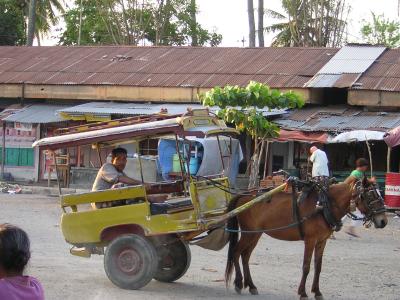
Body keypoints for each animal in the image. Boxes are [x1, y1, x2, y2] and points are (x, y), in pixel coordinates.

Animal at [225, 177, 388, 298]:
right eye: (370, 195)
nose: (383, 221)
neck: (323, 205)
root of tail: (244, 194)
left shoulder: (322, 241)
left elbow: (318, 266)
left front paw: (317, 291)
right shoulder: (310, 240)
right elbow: (306, 266)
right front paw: (302, 292)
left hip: (255, 234)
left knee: (245, 256)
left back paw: (251, 285)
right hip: (249, 232)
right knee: (236, 252)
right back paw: (238, 283)